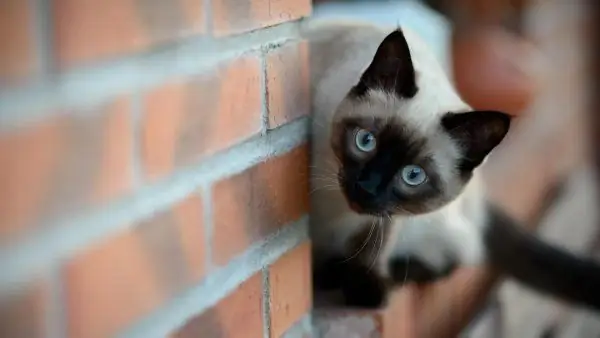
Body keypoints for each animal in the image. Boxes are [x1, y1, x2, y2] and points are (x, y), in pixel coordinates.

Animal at [302, 17, 600, 308]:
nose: (367, 188)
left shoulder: (389, 215)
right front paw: (322, 277)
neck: (337, 209)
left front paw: (365, 290)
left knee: (457, 258)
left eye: (413, 176)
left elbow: (374, 245)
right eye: (365, 141)